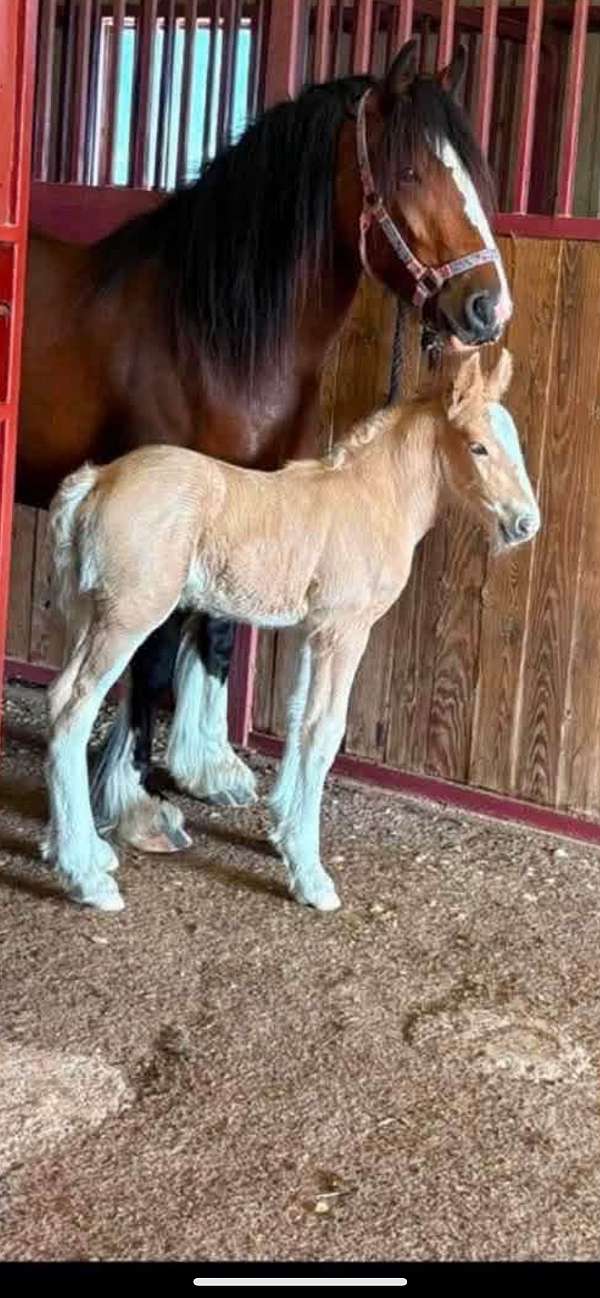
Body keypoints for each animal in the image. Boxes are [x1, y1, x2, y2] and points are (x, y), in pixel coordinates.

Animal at [20, 39, 512, 856]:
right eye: (411, 174)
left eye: (476, 176)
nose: (486, 309)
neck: (206, 331)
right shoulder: (164, 514)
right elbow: (155, 656)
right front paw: (138, 802)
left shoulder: (247, 495)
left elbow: (217, 631)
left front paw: (207, 768)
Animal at [44, 348, 538, 914]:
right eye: (478, 446)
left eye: (514, 442)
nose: (526, 524)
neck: (372, 498)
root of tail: (96, 482)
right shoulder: (343, 631)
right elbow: (324, 730)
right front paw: (311, 877)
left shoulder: (311, 632)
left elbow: (300, 719)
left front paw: (283, 836)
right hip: (127, 618)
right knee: (72, 707)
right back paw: (86, 878)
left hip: (88, 613)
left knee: (61, 697)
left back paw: (86, 852)